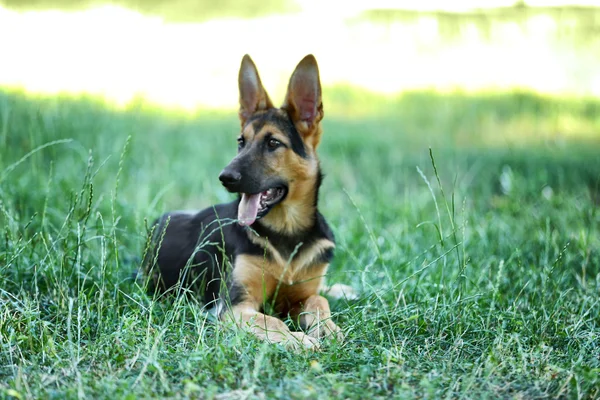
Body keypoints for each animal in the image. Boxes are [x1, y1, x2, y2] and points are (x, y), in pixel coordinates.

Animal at [141, 54, 346, 350]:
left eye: (273, 143)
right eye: (241, 141)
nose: (225, 177)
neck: (286, 231)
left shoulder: (300, 295)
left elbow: (319, 299)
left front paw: (329, 329)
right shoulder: (235, 306)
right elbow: (273, 321)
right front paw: (299, 340)